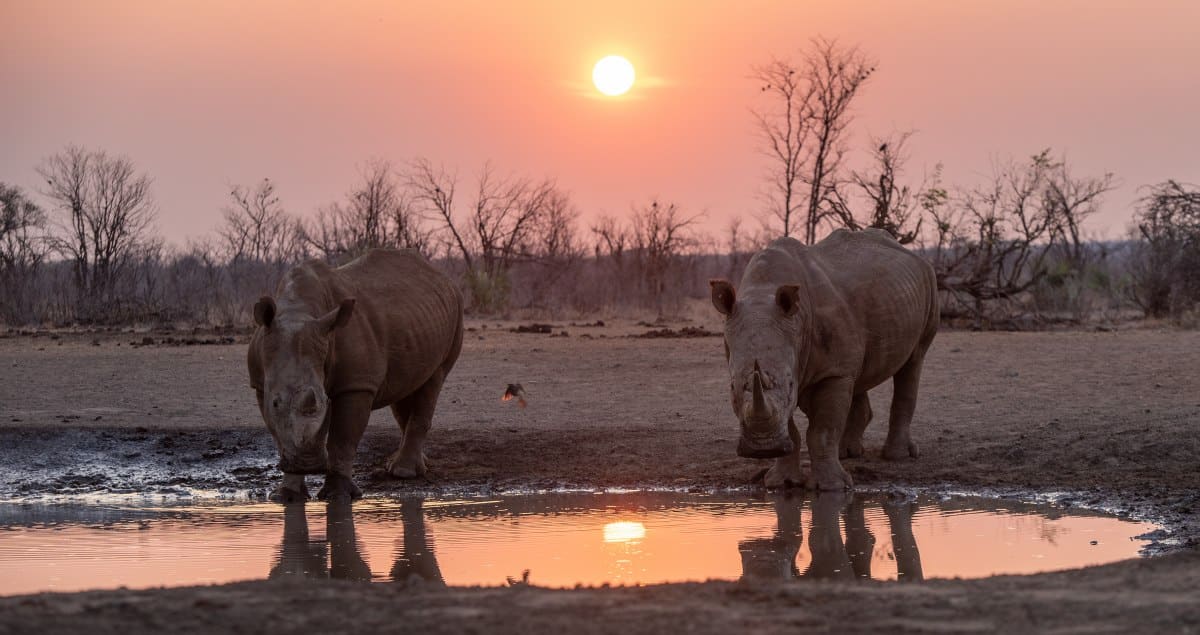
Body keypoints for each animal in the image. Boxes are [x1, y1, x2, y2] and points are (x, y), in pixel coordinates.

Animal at [248, 248, 463, 502]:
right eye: (275, 403)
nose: (308, 464)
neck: (297, 312)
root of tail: (442, 276)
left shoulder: (356, 384)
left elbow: (343, 438)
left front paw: (338, 495)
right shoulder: (260, 384)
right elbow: (278, 433)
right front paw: (286, 497)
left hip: (456, 310)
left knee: (433, 379)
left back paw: (403, 472)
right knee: (405, 389)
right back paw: (412, 463)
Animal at [710, 229, 938, 490]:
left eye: (790, 384)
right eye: (732, 387)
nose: (763, 449)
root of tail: (908, 252)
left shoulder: (831, 372)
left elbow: (822, 430)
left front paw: (832, 487)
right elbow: (792, 426)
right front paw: (782, 483)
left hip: (929, 282)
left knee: (914, 360)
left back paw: (896, 456)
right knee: (857, 374)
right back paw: (847, 453)